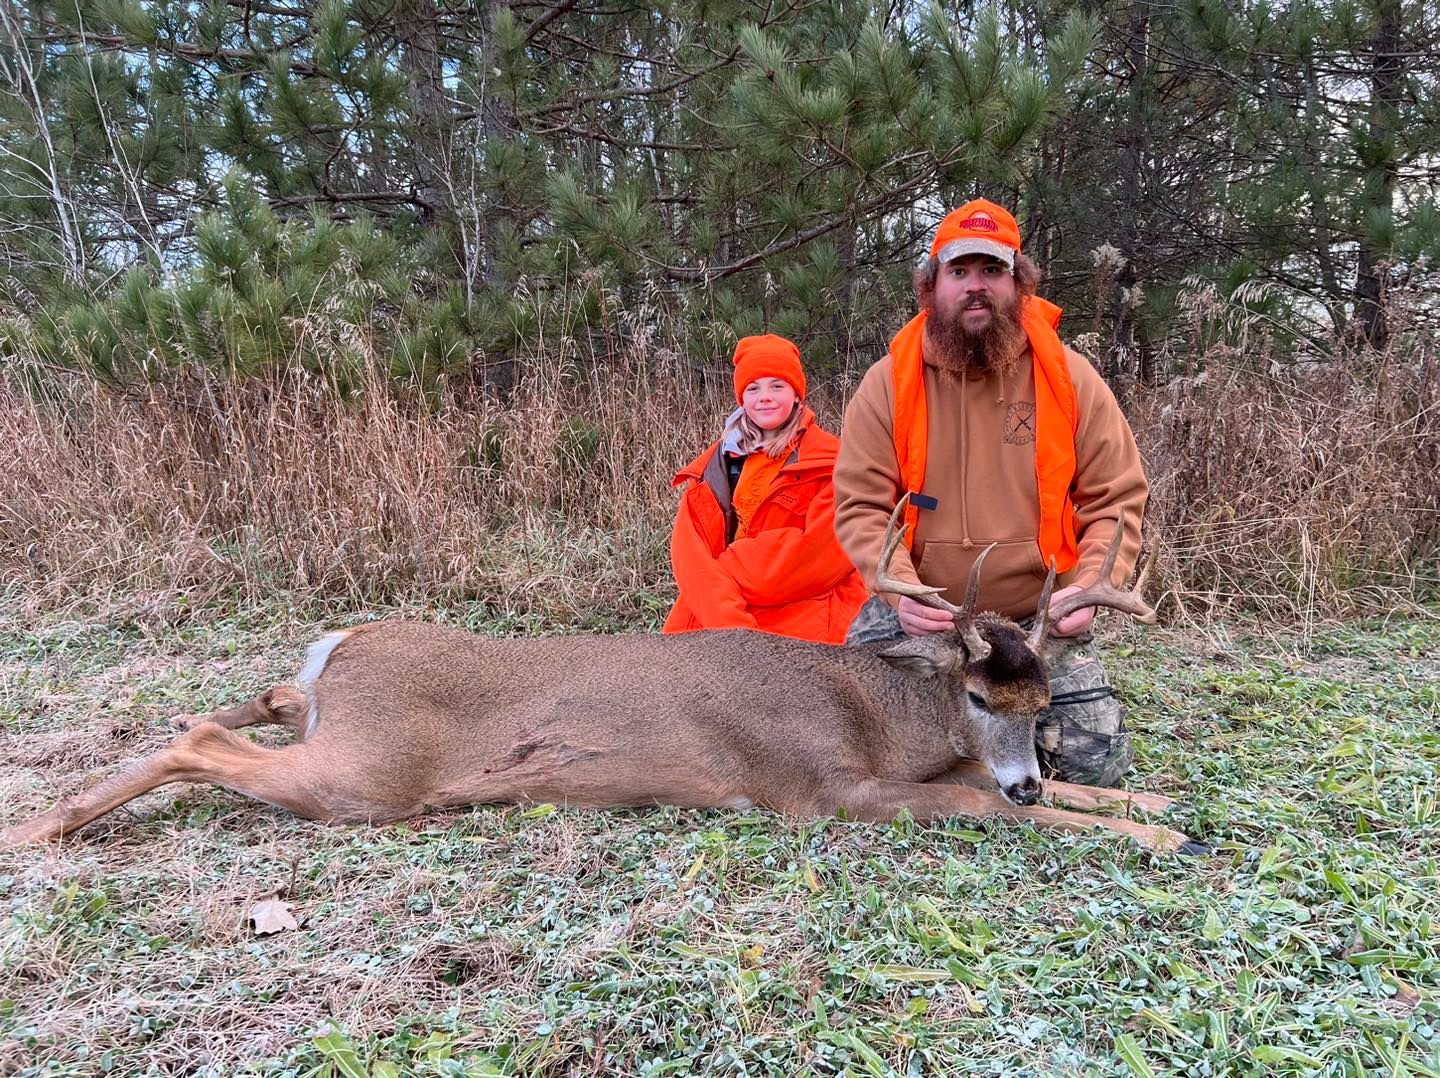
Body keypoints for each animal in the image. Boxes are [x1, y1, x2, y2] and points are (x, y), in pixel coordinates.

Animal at [1, 500, 1201, 854]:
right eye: (977, 694)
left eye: (1043, 707)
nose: (1028, 775)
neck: (876, 715)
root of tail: (344, 645)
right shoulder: (821, 789)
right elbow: (975, 806)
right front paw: (1155, 838)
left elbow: (1057, 792)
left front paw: (1154, 805)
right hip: (370, 774)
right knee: (200, 733)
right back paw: (41, 825)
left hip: (335, 735)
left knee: (264, 704)